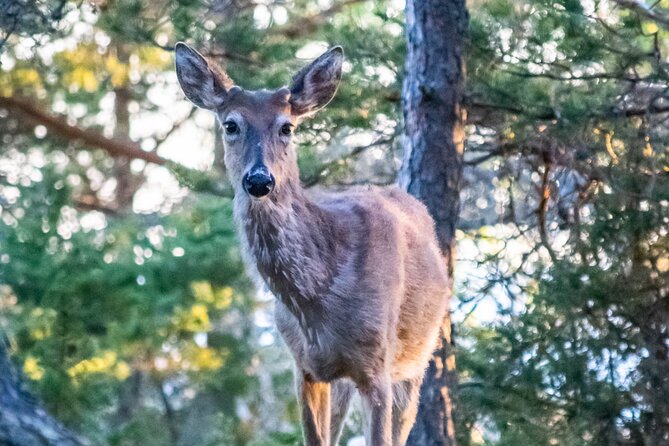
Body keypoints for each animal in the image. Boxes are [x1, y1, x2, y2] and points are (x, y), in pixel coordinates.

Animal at [174, 42, 450, 446]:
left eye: (286, 127)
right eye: (231, 125)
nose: (259, 180)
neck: (317, 299)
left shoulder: (378, 366)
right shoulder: (304, 367)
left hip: (415, 361)